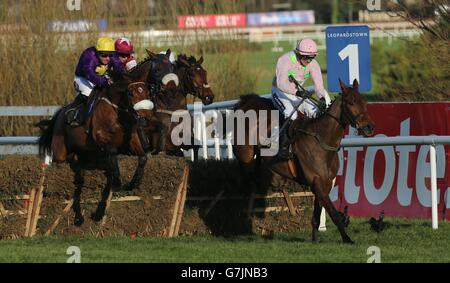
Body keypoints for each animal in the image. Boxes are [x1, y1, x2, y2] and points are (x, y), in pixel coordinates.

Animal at [234, 79, 374, 244]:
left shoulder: (325, 183)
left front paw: (315, 239)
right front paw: (347, 238)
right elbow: (333, 213)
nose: (369, 127)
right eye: (351, 102)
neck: (321, 140)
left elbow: (316, 215)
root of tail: (247, 100)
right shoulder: (316, 182)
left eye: (364, 102)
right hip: (245, 154)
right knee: (245, 172)